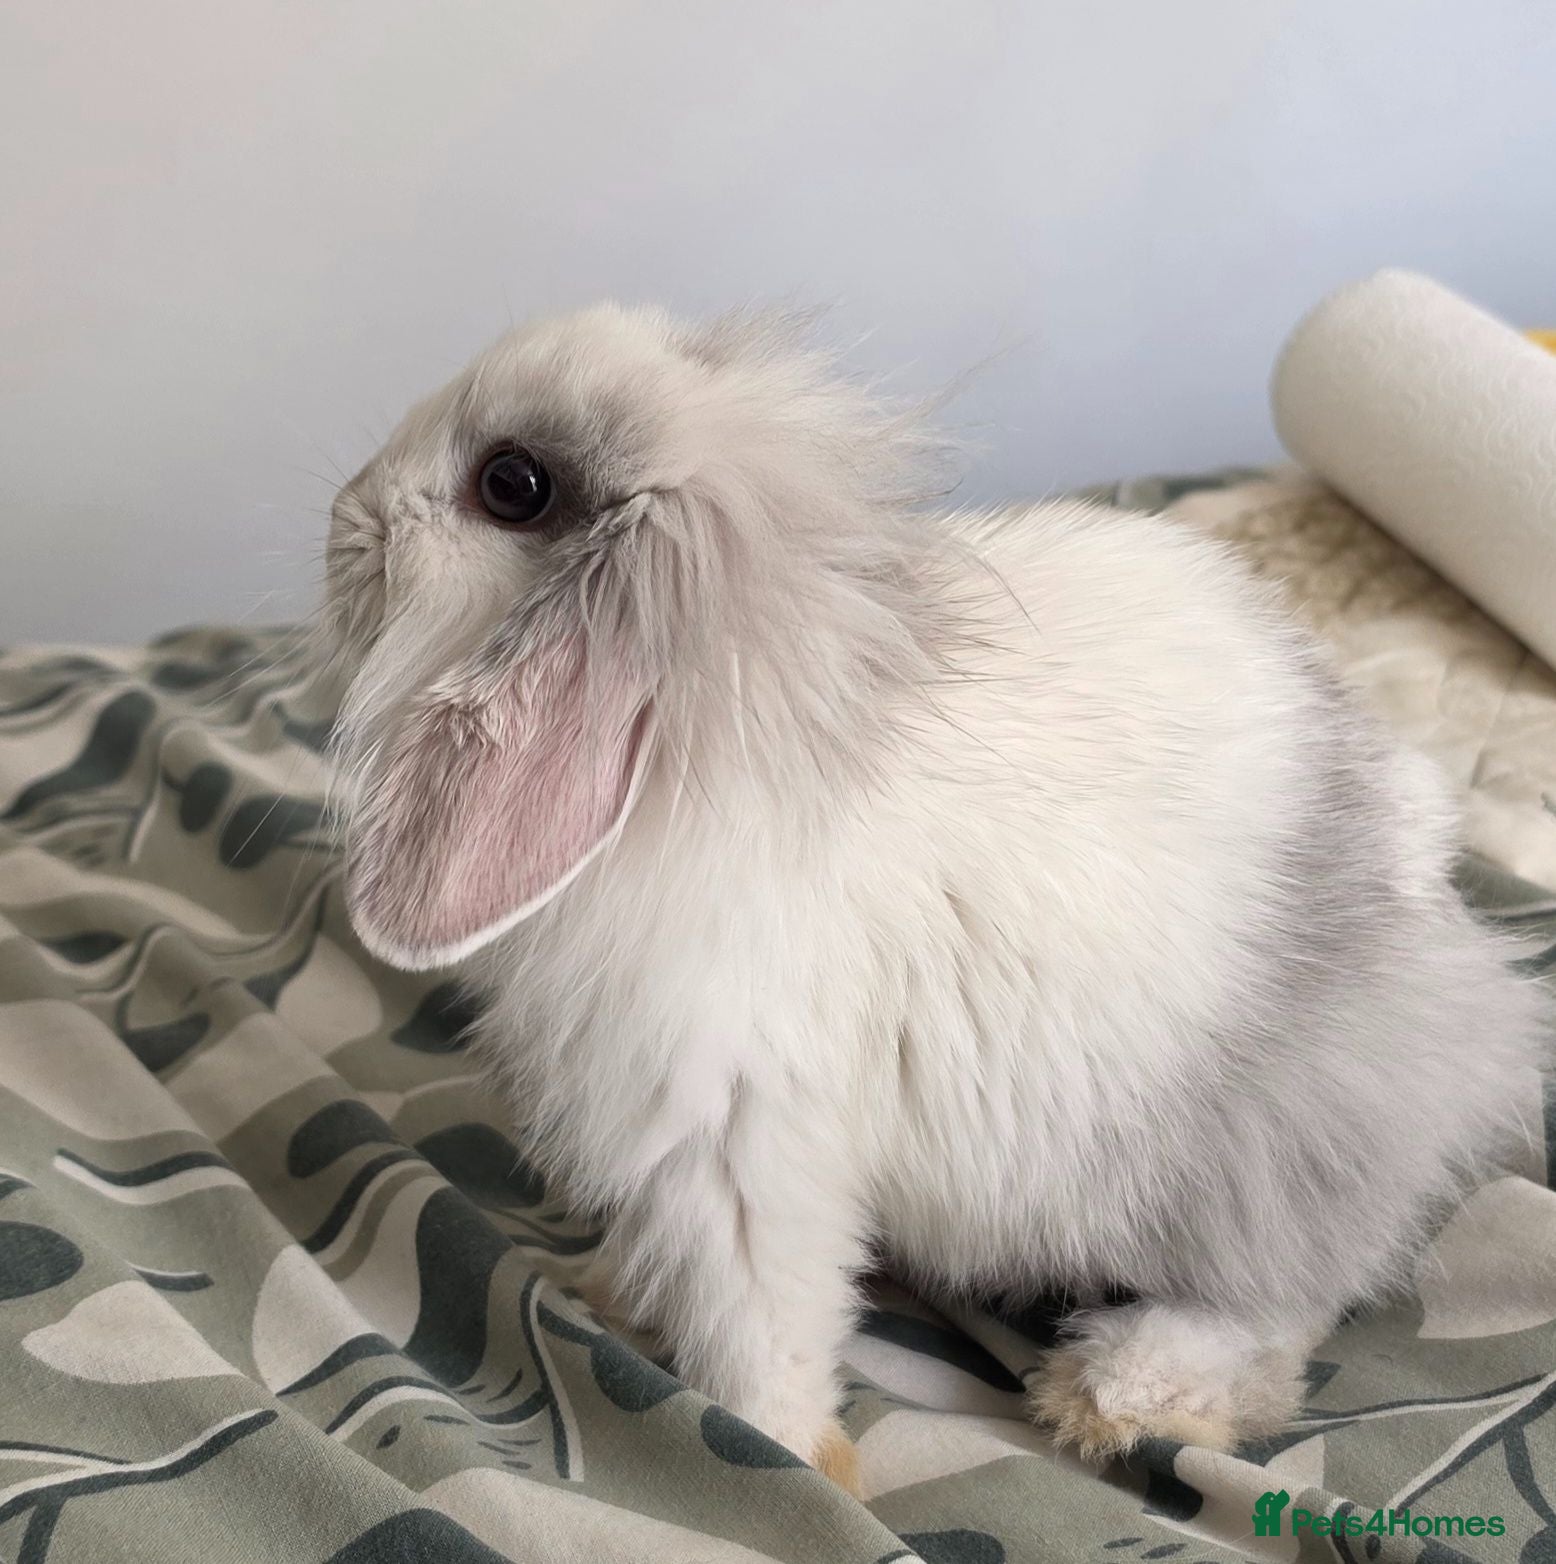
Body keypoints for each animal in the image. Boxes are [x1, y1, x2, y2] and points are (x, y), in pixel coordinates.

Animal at [322, 303, 1550, 1488]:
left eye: (512, 485)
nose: (344, 510)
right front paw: (612, 1290)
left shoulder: (739, 1144)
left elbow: (758, 1321)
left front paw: (783, 1457)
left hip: (1252, 1156)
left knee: (1286, 1303)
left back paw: (1115, 1392)